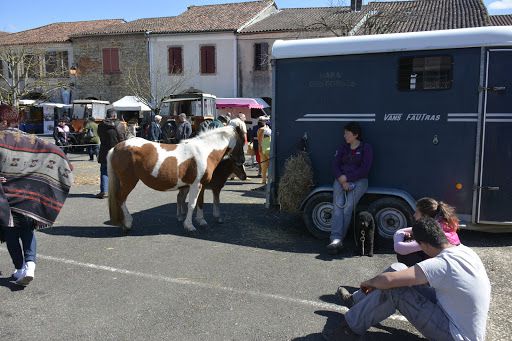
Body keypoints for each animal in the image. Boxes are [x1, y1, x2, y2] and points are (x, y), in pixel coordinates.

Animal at [107, 126, 245, 232]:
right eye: (241, 141)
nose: (242, 160)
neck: (205, 152)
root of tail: (116, 147)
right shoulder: (195, 185)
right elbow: (192, 204)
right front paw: (189, 225)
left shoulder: (202, 185)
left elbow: (200, 203)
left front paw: (201, 221)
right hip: (128, 181)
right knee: (121, 199)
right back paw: (128, 223)